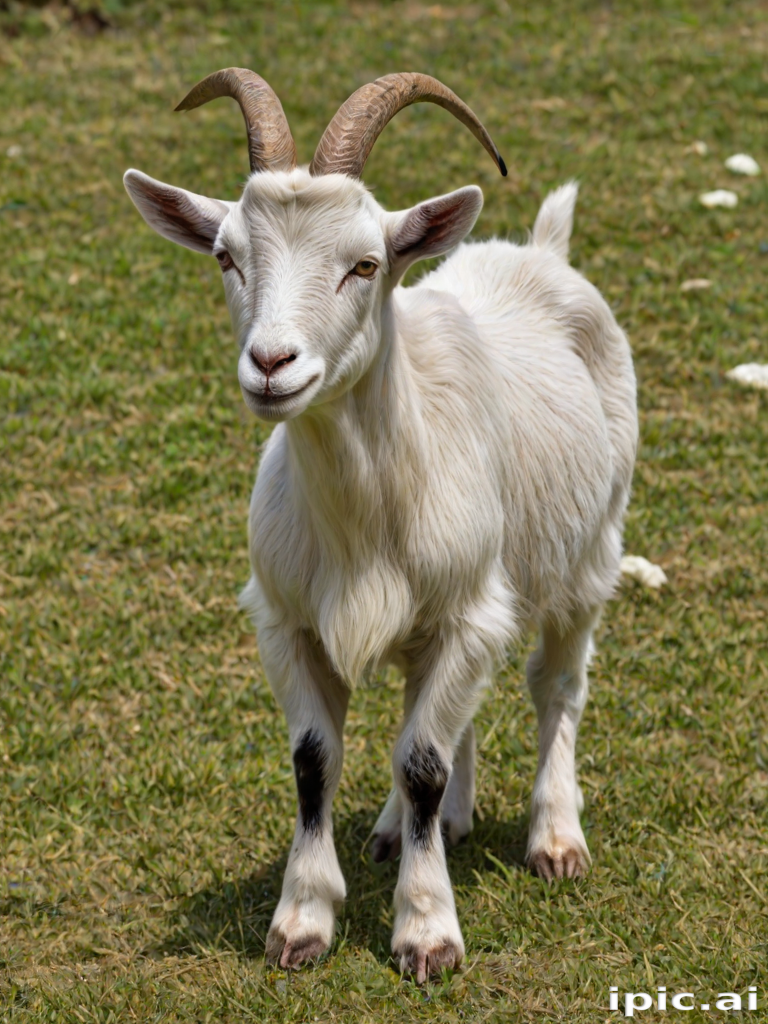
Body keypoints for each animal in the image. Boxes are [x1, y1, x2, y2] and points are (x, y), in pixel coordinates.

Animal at [124, 69, 637, 983]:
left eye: (365, 264)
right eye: (226, 256)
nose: (271, 364)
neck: (365, 514)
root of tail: (542, 251)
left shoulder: (467, 611)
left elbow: (422, 758)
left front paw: (426, 930)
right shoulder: (289, 620)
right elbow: (315, 758)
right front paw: (302, 919)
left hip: (590, 553)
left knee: (555, 686)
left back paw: (553, 836)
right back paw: (417, 827)